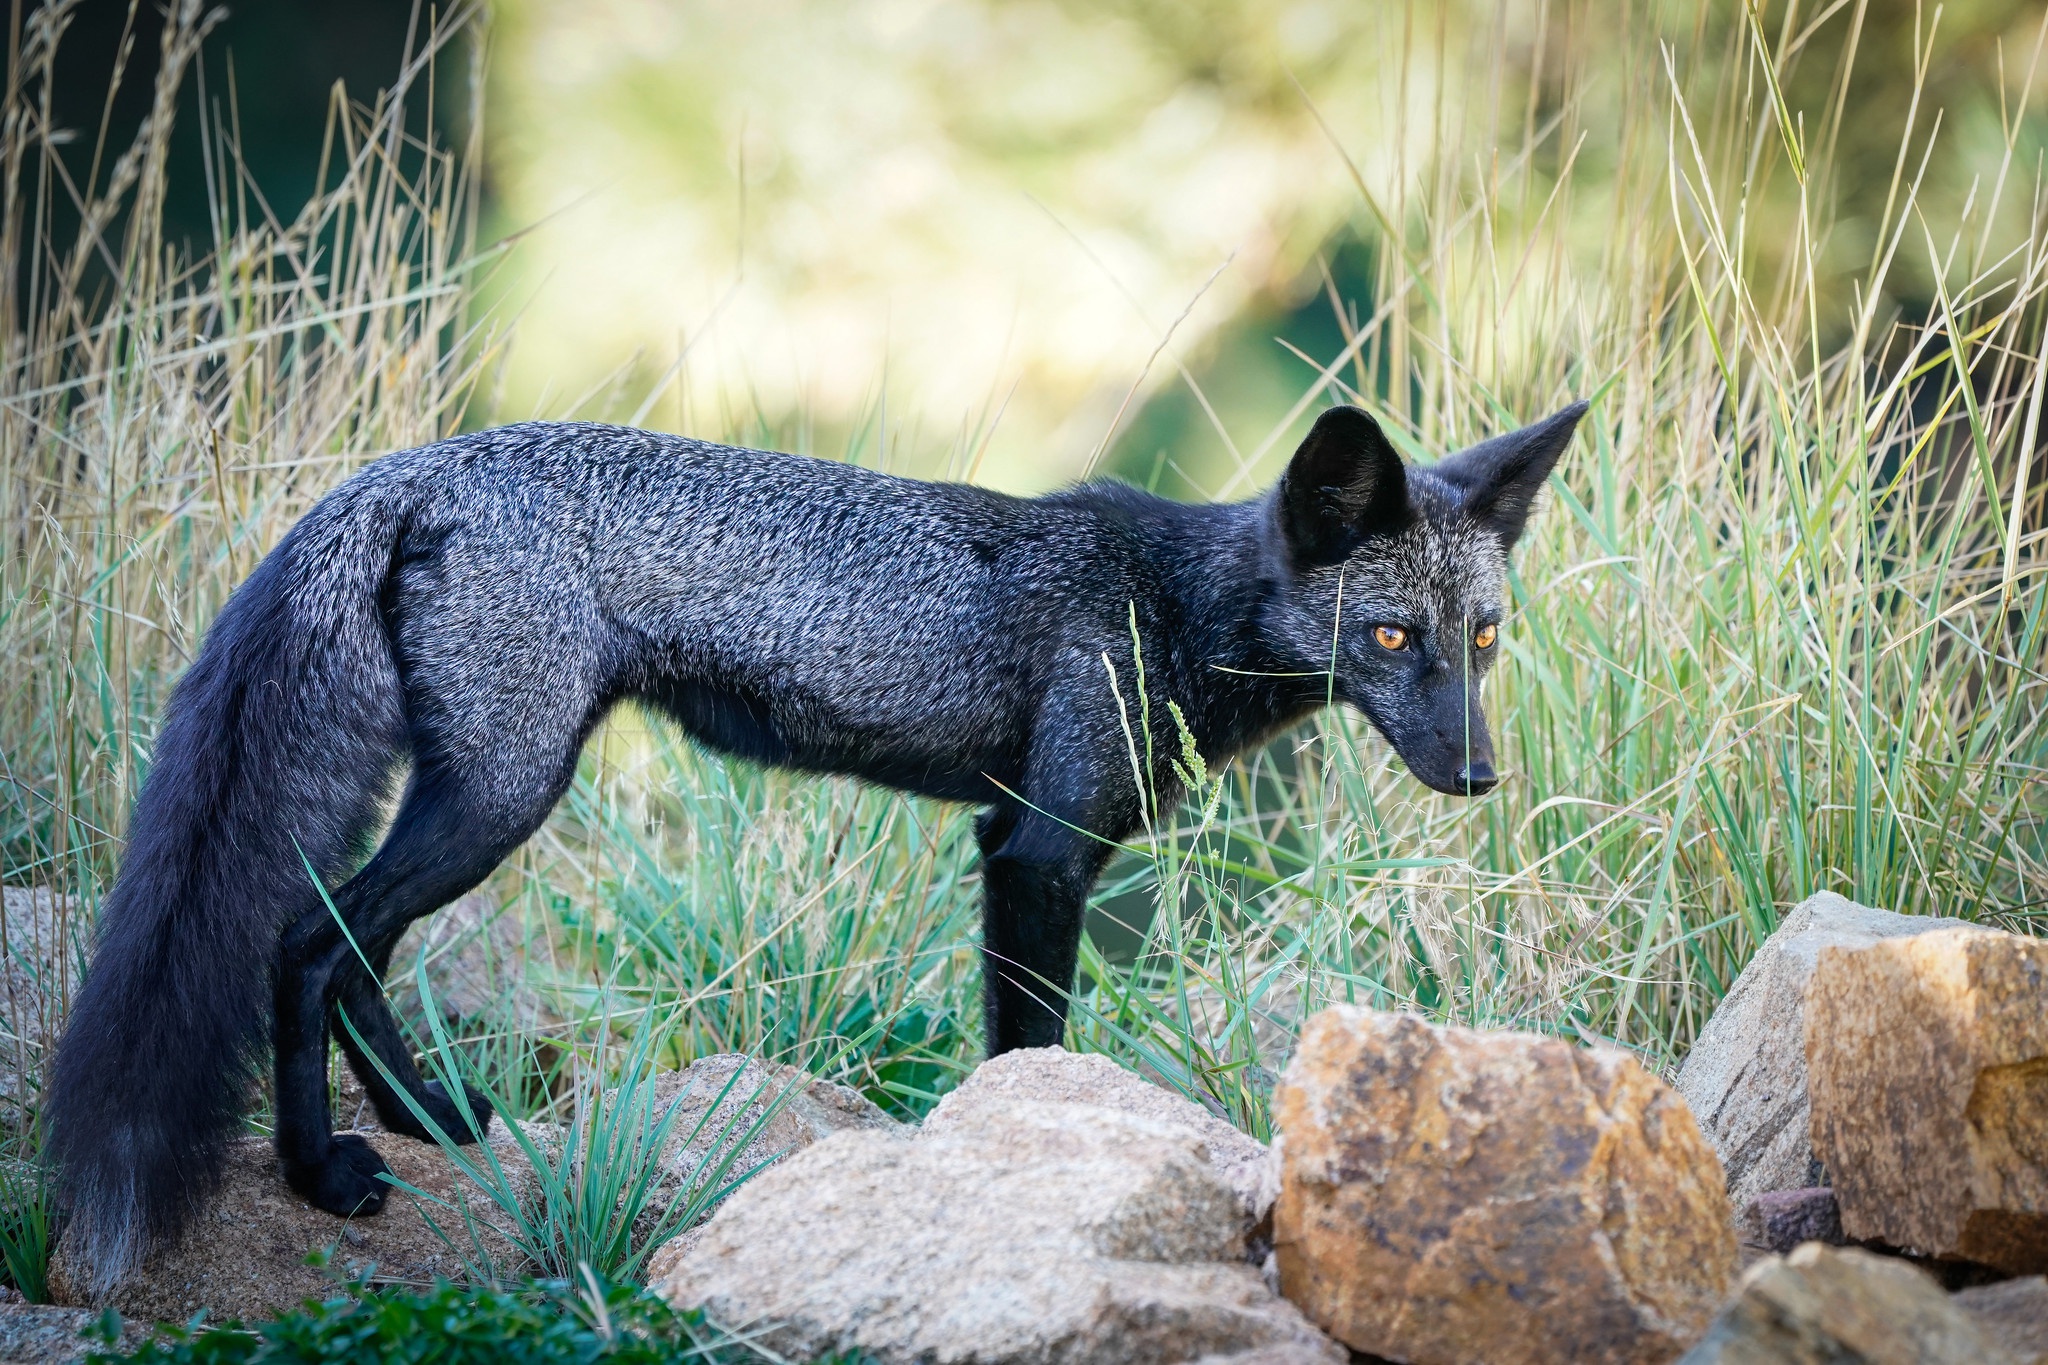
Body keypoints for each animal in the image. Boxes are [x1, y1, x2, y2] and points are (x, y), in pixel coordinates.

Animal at [44, 397, 1581, 1293]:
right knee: (310, 936)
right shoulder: (1035, 850)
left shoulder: (1006, 838)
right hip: (501, 789)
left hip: (474, 787)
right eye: (1390, 639)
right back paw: (326, 1174)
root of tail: (421, 462)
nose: (1476, 775)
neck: (1169, 606)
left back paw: (425, 1120)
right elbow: (1027, 1042)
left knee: (349, 944)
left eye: (1482, 640)